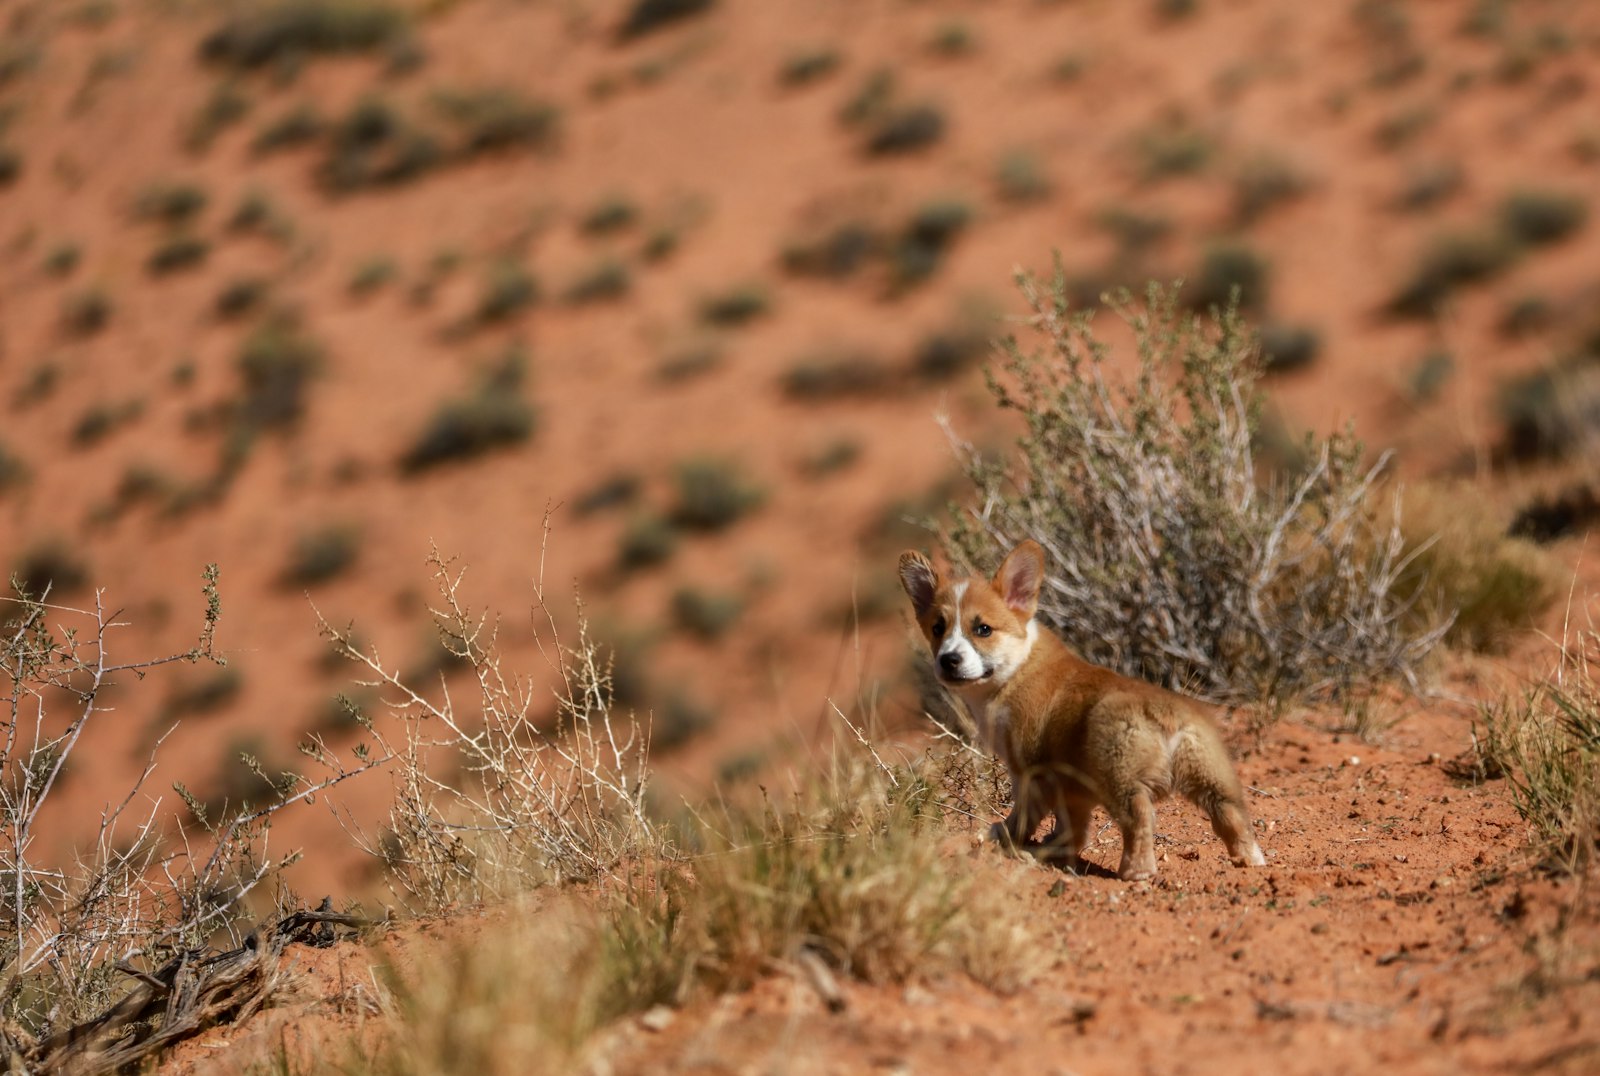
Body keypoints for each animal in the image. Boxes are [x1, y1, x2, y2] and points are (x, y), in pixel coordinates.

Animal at [902, 541, 1260, 877]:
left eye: (983, 629)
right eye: (937, 628)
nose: (948, 660)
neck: (1017, 667)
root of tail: (1166, 715)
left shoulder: (1029, 771)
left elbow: (1024, 816)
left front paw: (1004, 837)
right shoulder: (1072, 789)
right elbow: (1072, 827)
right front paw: (1054, 848)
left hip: (1118, 777)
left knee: (1138, 817)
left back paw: (1135, 871)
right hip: (1212, 776)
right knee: (1231, 815)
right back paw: (1251, 859)